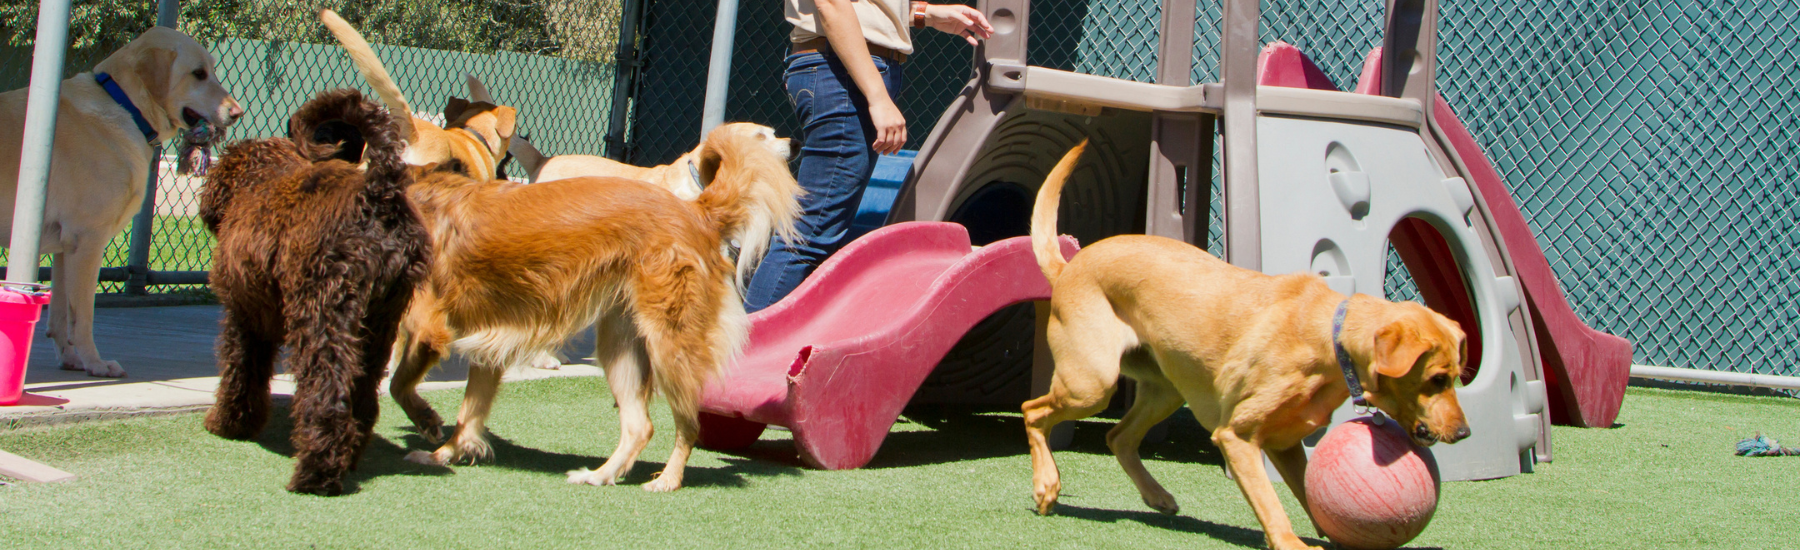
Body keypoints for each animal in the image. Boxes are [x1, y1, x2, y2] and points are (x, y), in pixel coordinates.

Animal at [0, 25, 243, 377]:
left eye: (212, 69)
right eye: (198, 74)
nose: (237, 113)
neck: (126, 106)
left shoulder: (63, 248)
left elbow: (60, 315)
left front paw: (71, 360)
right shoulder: (87, 242)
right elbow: (82, 318)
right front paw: (95, 363)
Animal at [199, 88, 432, 492]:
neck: (260, 180)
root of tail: (378, 193)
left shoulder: (244, 315)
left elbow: (239, 371)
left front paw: (229, 423)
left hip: (323, 313)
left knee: (327, 392)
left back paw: (315, 473)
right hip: (379, 321)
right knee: (362, 394)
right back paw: (349, 457)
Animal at [392, 122, 802, 492]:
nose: (795, 144)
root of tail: (696, 212)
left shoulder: (429, 329)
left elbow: (399, 384)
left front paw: (427, 422)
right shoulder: (487, 347)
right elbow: (468, 415)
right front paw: (443, 454)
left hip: (667, 345)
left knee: (688, 424)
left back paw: (667, 480)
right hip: (621, 346)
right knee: (640, 426)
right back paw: (601, 475)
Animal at [1036, 141, 1468, 550]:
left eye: (1456, 378)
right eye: (1436, 379)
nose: (1463, 433)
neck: (1329, 337)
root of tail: (1069, 267)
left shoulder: (1287, 443)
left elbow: (1309, 496)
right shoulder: (1237, 437)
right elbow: (1269, 501)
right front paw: (1292, 543)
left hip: (1165, 390)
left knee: (1118, 437)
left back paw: (1156, 496)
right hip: (1092, 384)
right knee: (1035, 411)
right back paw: (1046, 486)